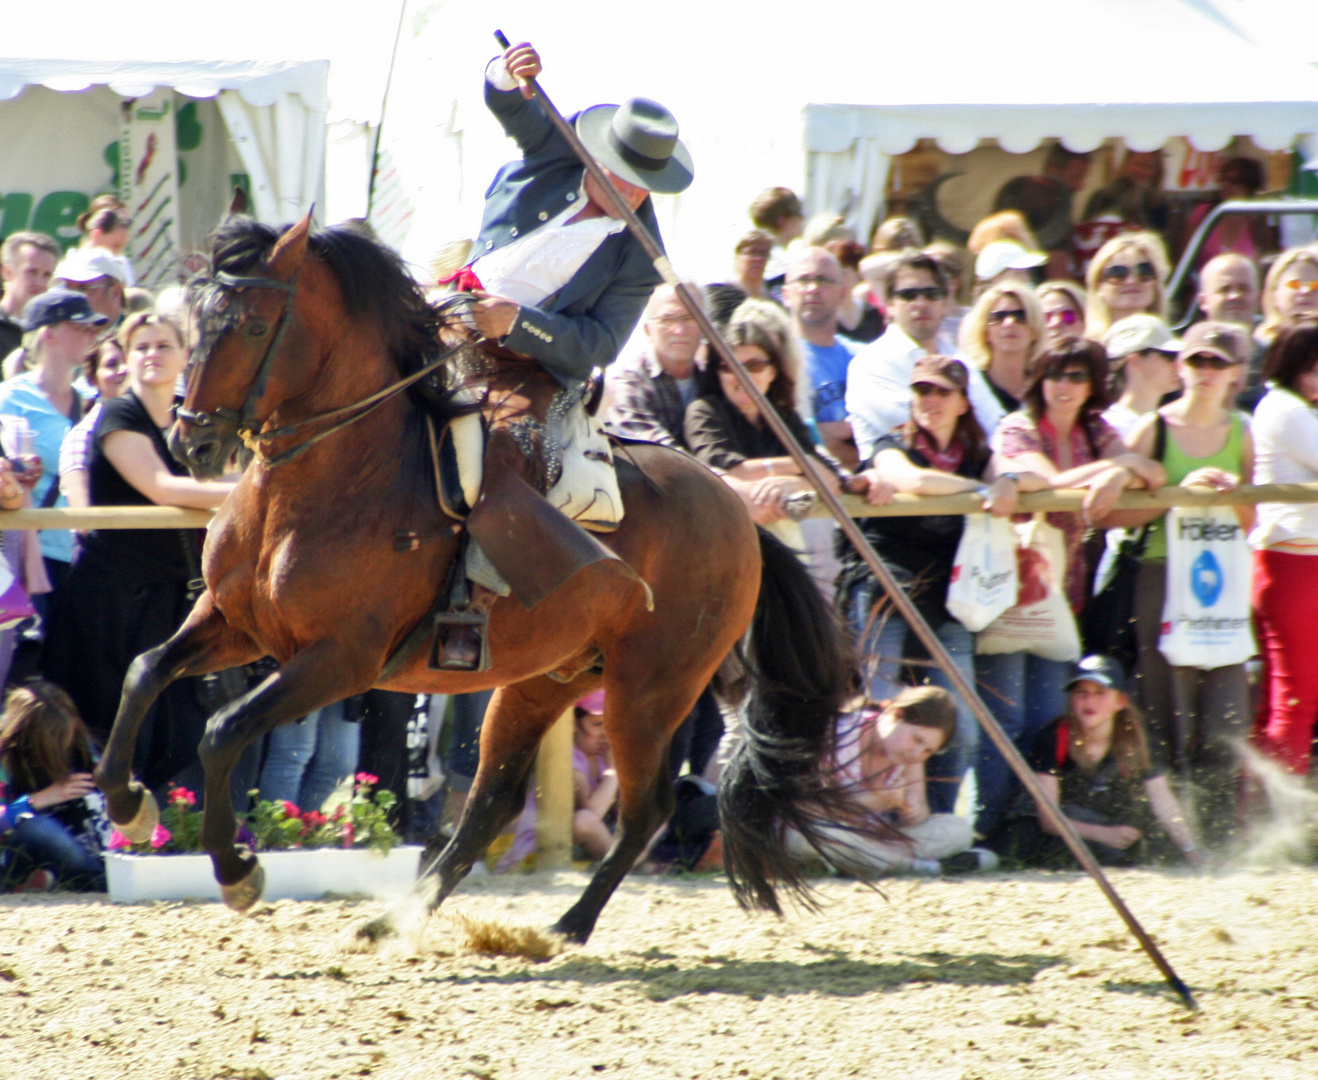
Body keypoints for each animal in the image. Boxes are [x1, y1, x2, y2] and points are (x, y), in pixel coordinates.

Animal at [97, 213, 864, 944]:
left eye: (255, 325)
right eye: (195, 325)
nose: (192, 441)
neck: (335, 479)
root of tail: (737, 511)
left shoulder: (339, 660)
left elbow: (221, 730)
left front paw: (236, 872)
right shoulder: (236, 624)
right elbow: (143, 670)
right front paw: (128, 805)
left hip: (649, 689)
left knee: (645, 808)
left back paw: (566, 925)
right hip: (545, 679)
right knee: (491, 803)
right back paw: (392, 921)